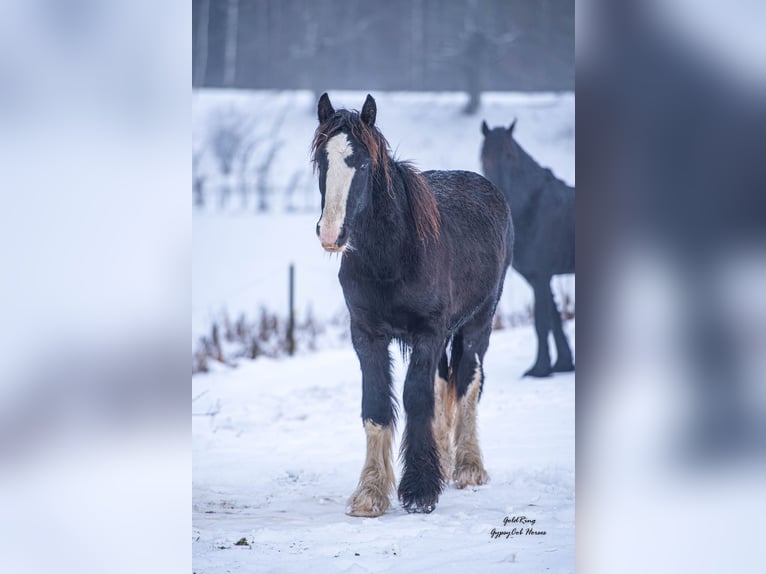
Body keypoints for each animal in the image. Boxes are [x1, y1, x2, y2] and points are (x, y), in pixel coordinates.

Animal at [312, 94, 516, 516]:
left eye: (363, 163)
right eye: (322, 160)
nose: (331, 233)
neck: (393, 255)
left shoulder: (428, 333)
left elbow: (417, 399)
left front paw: (420, 490)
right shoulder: (367, 335)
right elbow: (376, 405)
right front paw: (371, 492)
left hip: (478, 324)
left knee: (468, 383)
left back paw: (468, 467)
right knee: (443, 386)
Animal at [484, 120, 572, 378]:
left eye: (510, 155)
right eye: (485, 156)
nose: (500, 188)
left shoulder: (542, 276)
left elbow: (542, 322)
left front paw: (540, 369)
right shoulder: (538, 277)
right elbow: (554, 319)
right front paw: (562, 364)